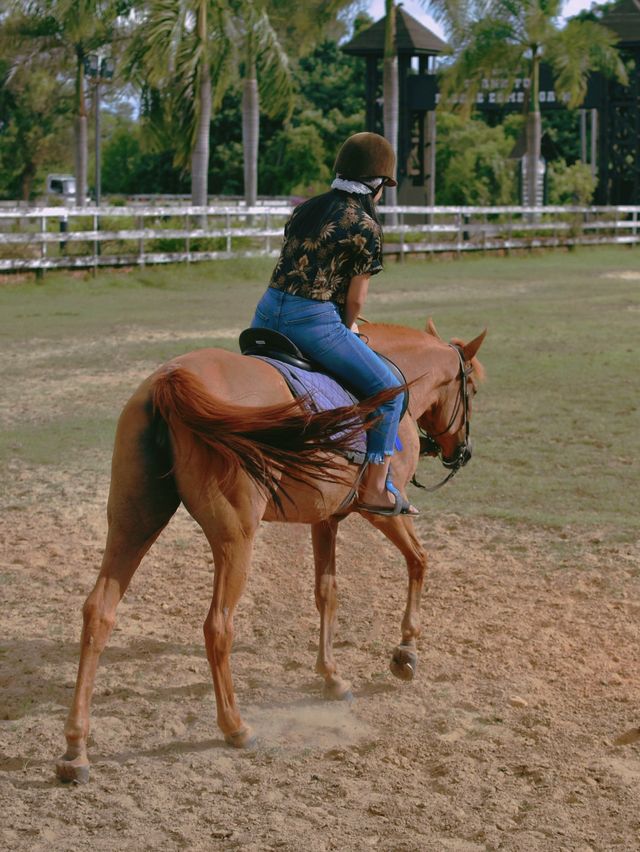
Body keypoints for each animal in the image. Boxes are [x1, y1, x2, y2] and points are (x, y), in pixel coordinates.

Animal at [55, 316, 484, 784]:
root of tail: (171, 379)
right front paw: (406, 651)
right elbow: (419, 561)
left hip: (133, 522)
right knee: (217, 627)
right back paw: (235, 727)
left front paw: (332, 677)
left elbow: (327, 593)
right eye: (472, 388)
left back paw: (75, 750)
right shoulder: (383, 510)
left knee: (99, 613)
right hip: (235, 539)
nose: (462, 452)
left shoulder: (326, 519)